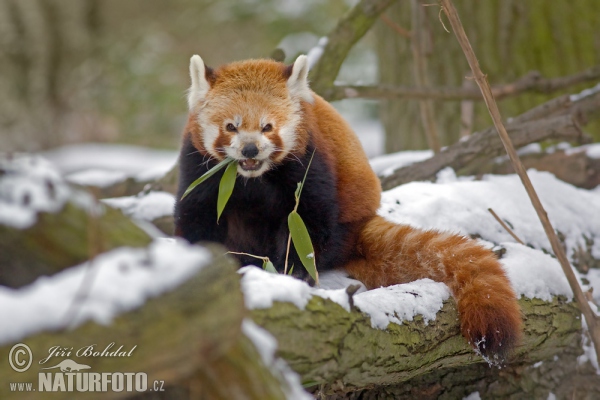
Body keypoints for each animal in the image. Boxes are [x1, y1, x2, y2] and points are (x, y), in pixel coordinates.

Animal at [173, 54, 520, 362]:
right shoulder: (200, 166)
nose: (250, 149)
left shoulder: (311, 159)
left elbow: (309, 221)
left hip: (347, 219)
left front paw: (293, 270)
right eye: (231, 127)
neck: (251, 179)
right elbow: (196, 213)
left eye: (267, 126)